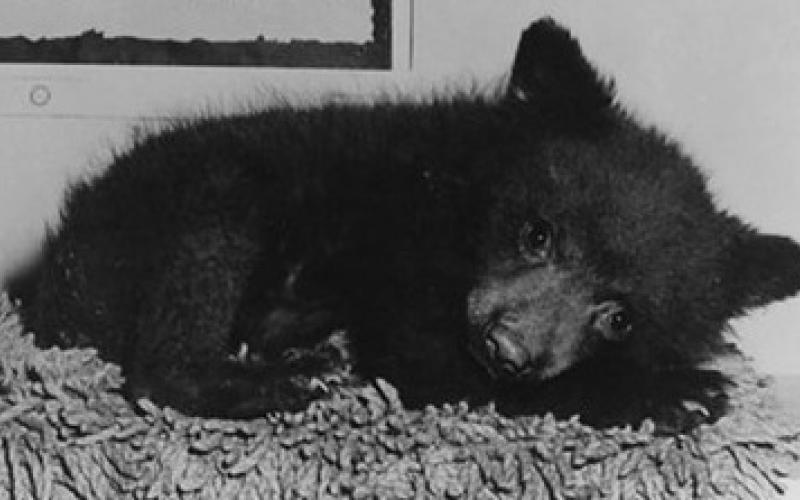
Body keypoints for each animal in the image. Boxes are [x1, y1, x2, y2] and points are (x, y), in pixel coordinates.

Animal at [9, 18, 800, 427]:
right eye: (537, 232)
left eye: (620, 317)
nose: (507, 349)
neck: (459, 204)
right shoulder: (405, 265)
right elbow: (430, 366)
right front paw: (680, 392)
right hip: (211, 197)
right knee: (162, 358)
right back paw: (282, 379)